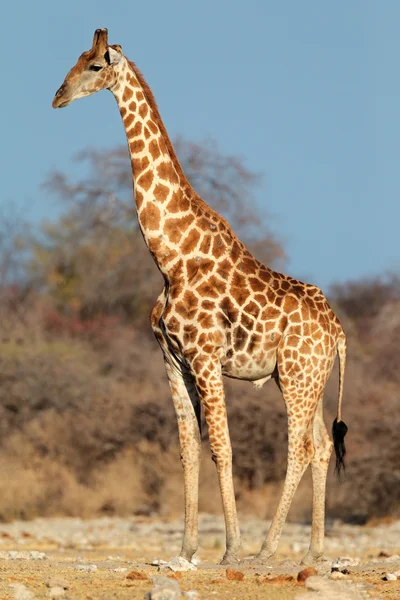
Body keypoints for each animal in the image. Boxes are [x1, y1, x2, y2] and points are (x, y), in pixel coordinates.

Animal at [52, 28, 346, 564]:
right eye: (76, 60)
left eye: (94, 65)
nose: (57, 97)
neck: (170, 258)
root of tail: (337, 330)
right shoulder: (173, 360)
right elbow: (188, 448)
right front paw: (187, 548)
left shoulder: (206, 357)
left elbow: (221, 448)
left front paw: (230, 550)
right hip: (303, 379)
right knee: (317, 444)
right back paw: (313, 551)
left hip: (298, 378)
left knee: (299, 449)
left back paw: (265, 549)